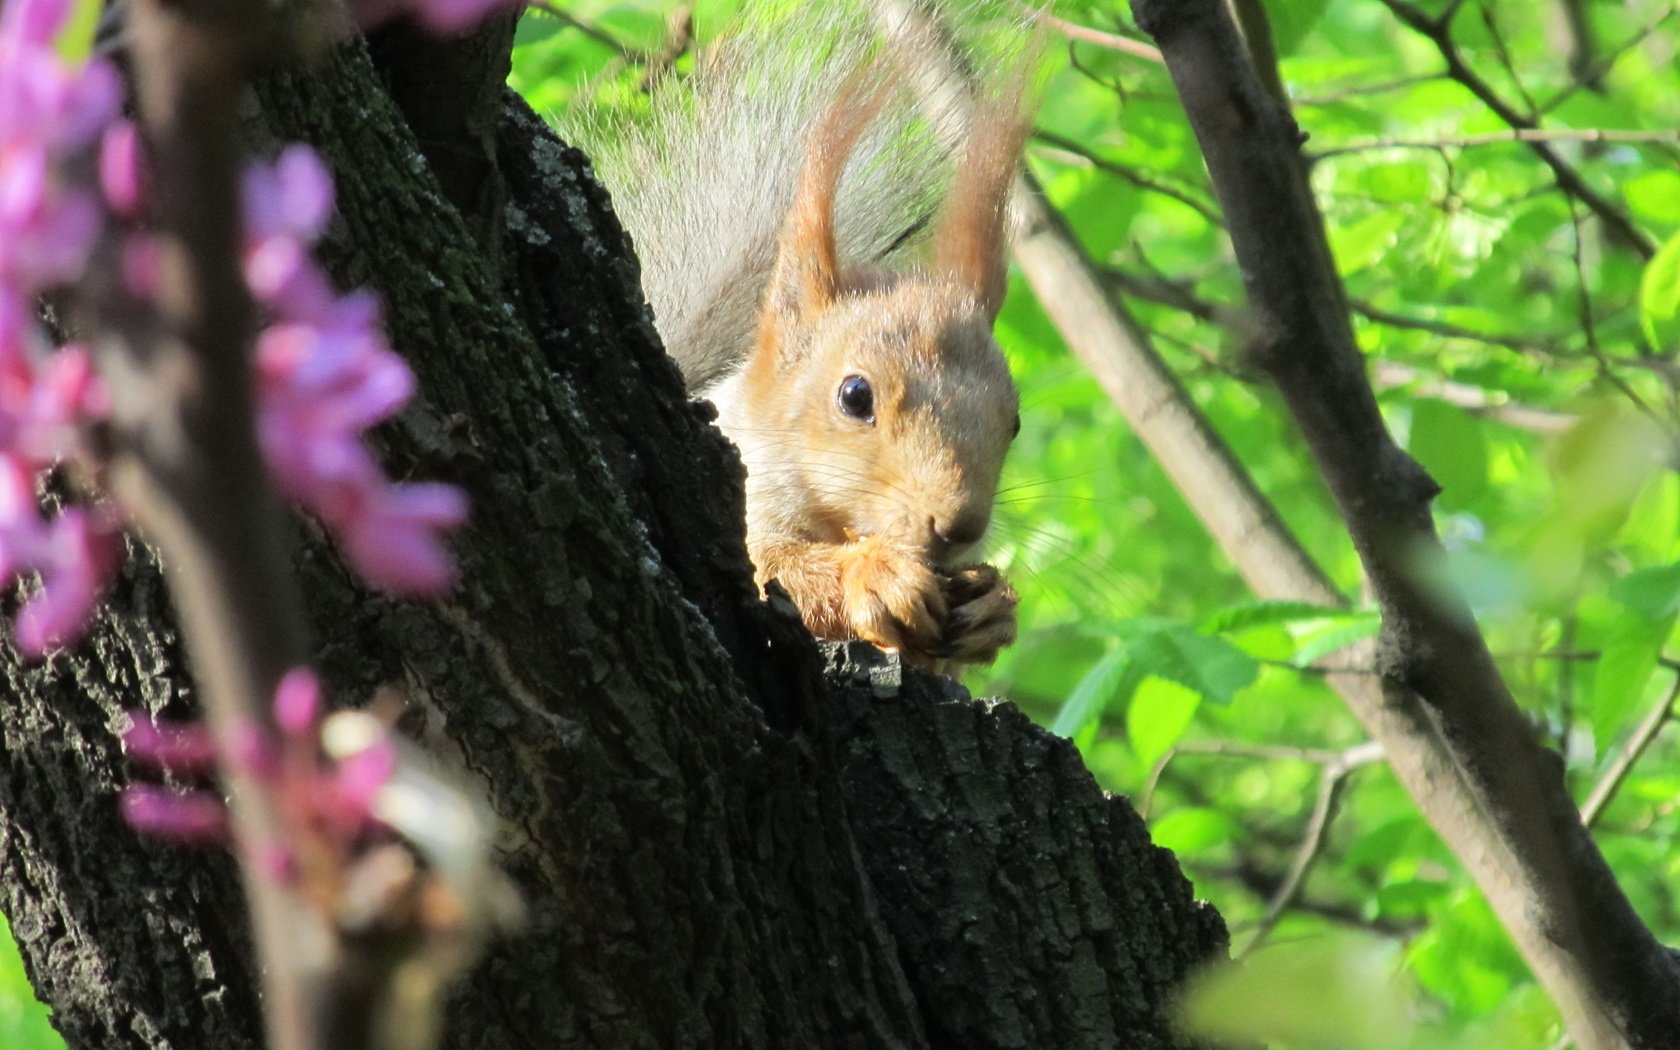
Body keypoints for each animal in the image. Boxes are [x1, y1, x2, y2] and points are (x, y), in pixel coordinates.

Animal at [577, 10, 1028, 661]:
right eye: (855, 396)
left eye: (1013, 421)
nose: (959, 526)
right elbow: (772, 565)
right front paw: (874, 575)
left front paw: (993, 605)